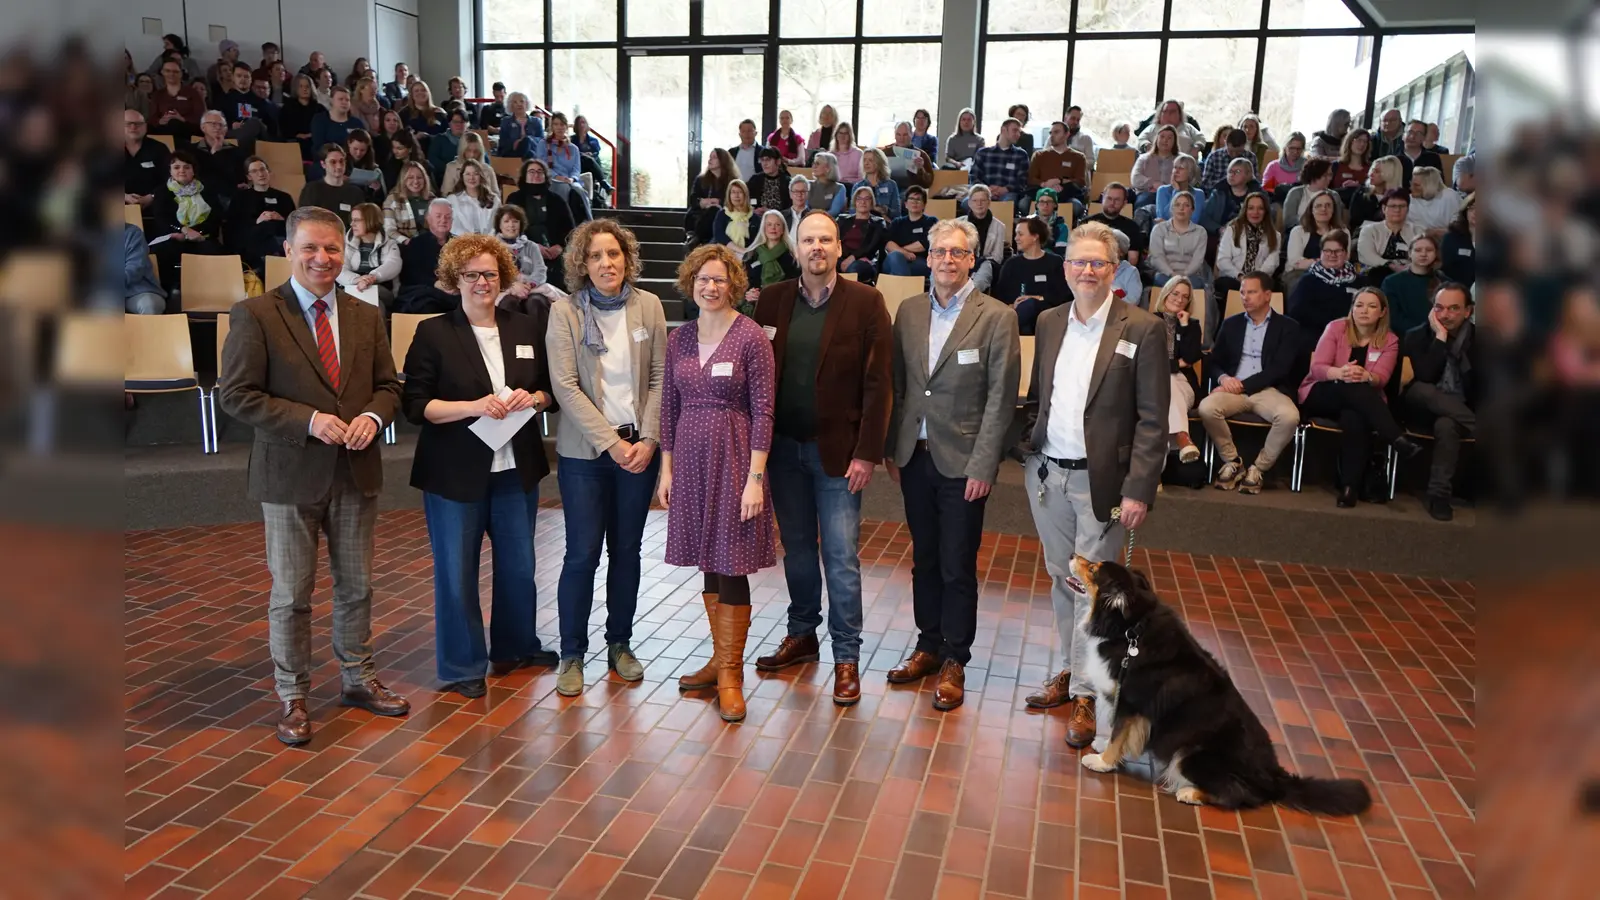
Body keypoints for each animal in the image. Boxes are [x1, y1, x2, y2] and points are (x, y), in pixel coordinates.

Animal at [1068, 554, 1369, 813]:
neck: (1131, 630)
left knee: (1240, 795)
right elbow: (1116, 731)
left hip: (1191, 755)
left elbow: (1119, 733)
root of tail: (1274, 776)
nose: (1071, 555)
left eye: (1093, 569)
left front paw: (1101, 762)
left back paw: (1189, 793)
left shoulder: (1131, 701)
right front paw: (1102, 746)